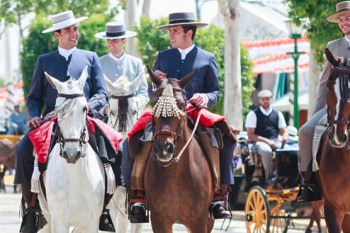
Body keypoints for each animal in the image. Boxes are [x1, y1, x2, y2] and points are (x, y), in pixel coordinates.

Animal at [144, 68, 215, 233]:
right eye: (153, 103)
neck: (175, 174)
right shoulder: (159, 219)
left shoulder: (200, 221)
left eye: (182, 104)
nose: (164, 148)